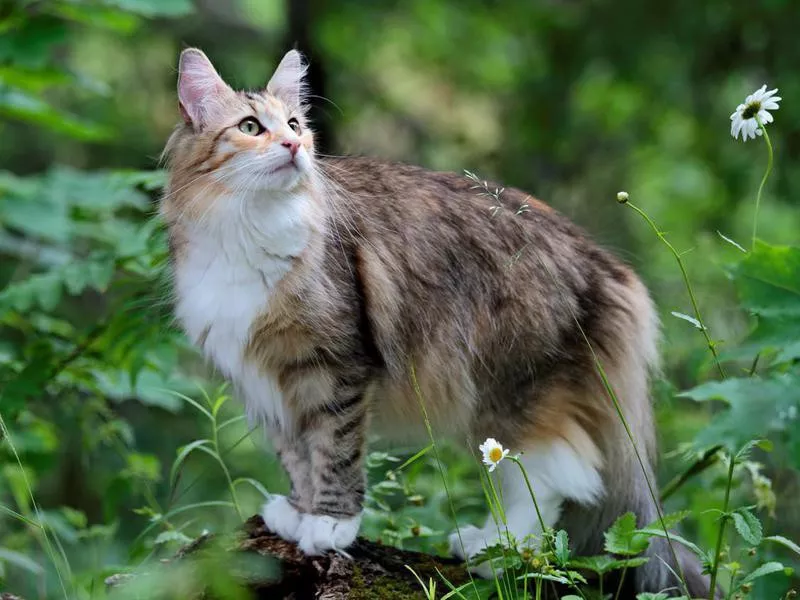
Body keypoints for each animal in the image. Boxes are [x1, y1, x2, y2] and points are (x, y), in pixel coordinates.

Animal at [159, 49, 708, 596]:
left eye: (294, 124)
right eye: (251, 127)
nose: (294, 145)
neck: (246, 226)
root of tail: (609, 267)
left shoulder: (335, 368)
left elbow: (334, 452)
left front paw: (330, 524)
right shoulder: (270, 379)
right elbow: (298, 458)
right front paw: (297, 514)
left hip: (510, 391)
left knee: (554, 478)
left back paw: (498, 549)